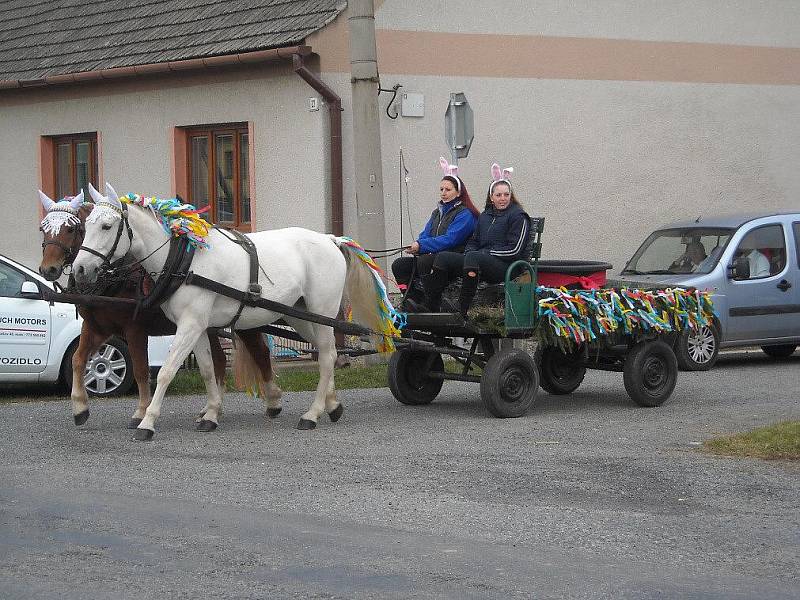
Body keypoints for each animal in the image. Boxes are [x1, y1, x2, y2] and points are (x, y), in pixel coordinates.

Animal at [37, 190, 282, 428]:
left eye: (71, 229)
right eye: (43, 229)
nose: (49, 269)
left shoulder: (134, 329)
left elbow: (140, 370)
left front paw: (141, 412)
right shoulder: (96, 327)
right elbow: (78, 360)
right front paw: (80, 408)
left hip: (245, 321)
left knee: (260, 354)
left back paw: (272, 400)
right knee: (220, 361)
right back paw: (212, 409)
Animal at [70, 180, 396, 438]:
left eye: (107, 226)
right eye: (85, 226)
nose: (80, 269)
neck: (184, 260)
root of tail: (330, 239)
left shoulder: (189, 324)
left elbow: (167, 370)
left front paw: (147, 422)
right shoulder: (197, 326)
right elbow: (206, 369)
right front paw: (211, 414)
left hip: (323, 312)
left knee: (327, 357)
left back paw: (312, 414)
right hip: (300, 315)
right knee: (329, 352)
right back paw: (333, 404)